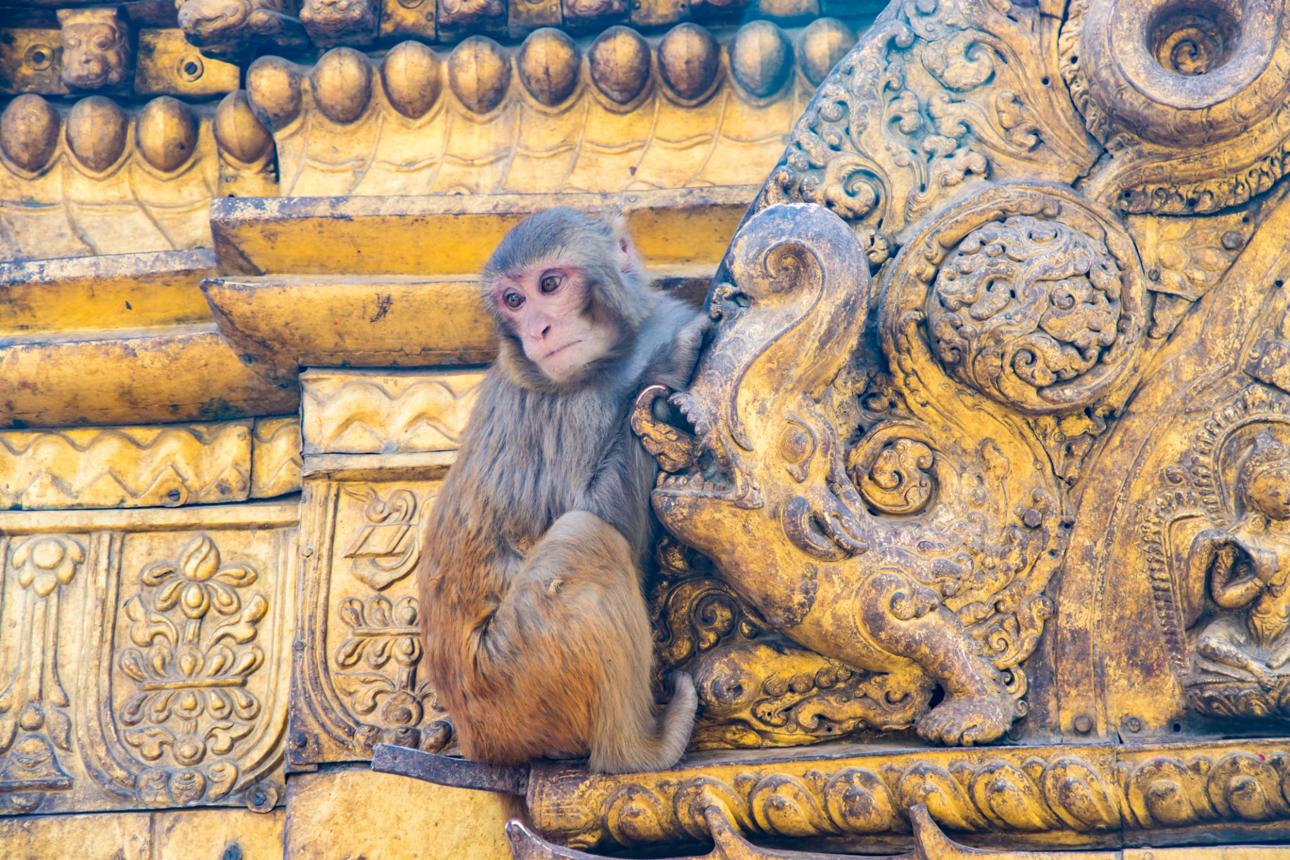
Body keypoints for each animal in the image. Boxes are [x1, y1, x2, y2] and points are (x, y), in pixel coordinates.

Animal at [419, 208, 709, 774]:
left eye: (548, 286)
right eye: (514, 300)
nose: (538, 329)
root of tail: (477, 741)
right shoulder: (573, 410)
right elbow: (600, 514)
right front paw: (669, 363)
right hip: (515, 682)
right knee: (584, 536)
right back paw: (639, 751)